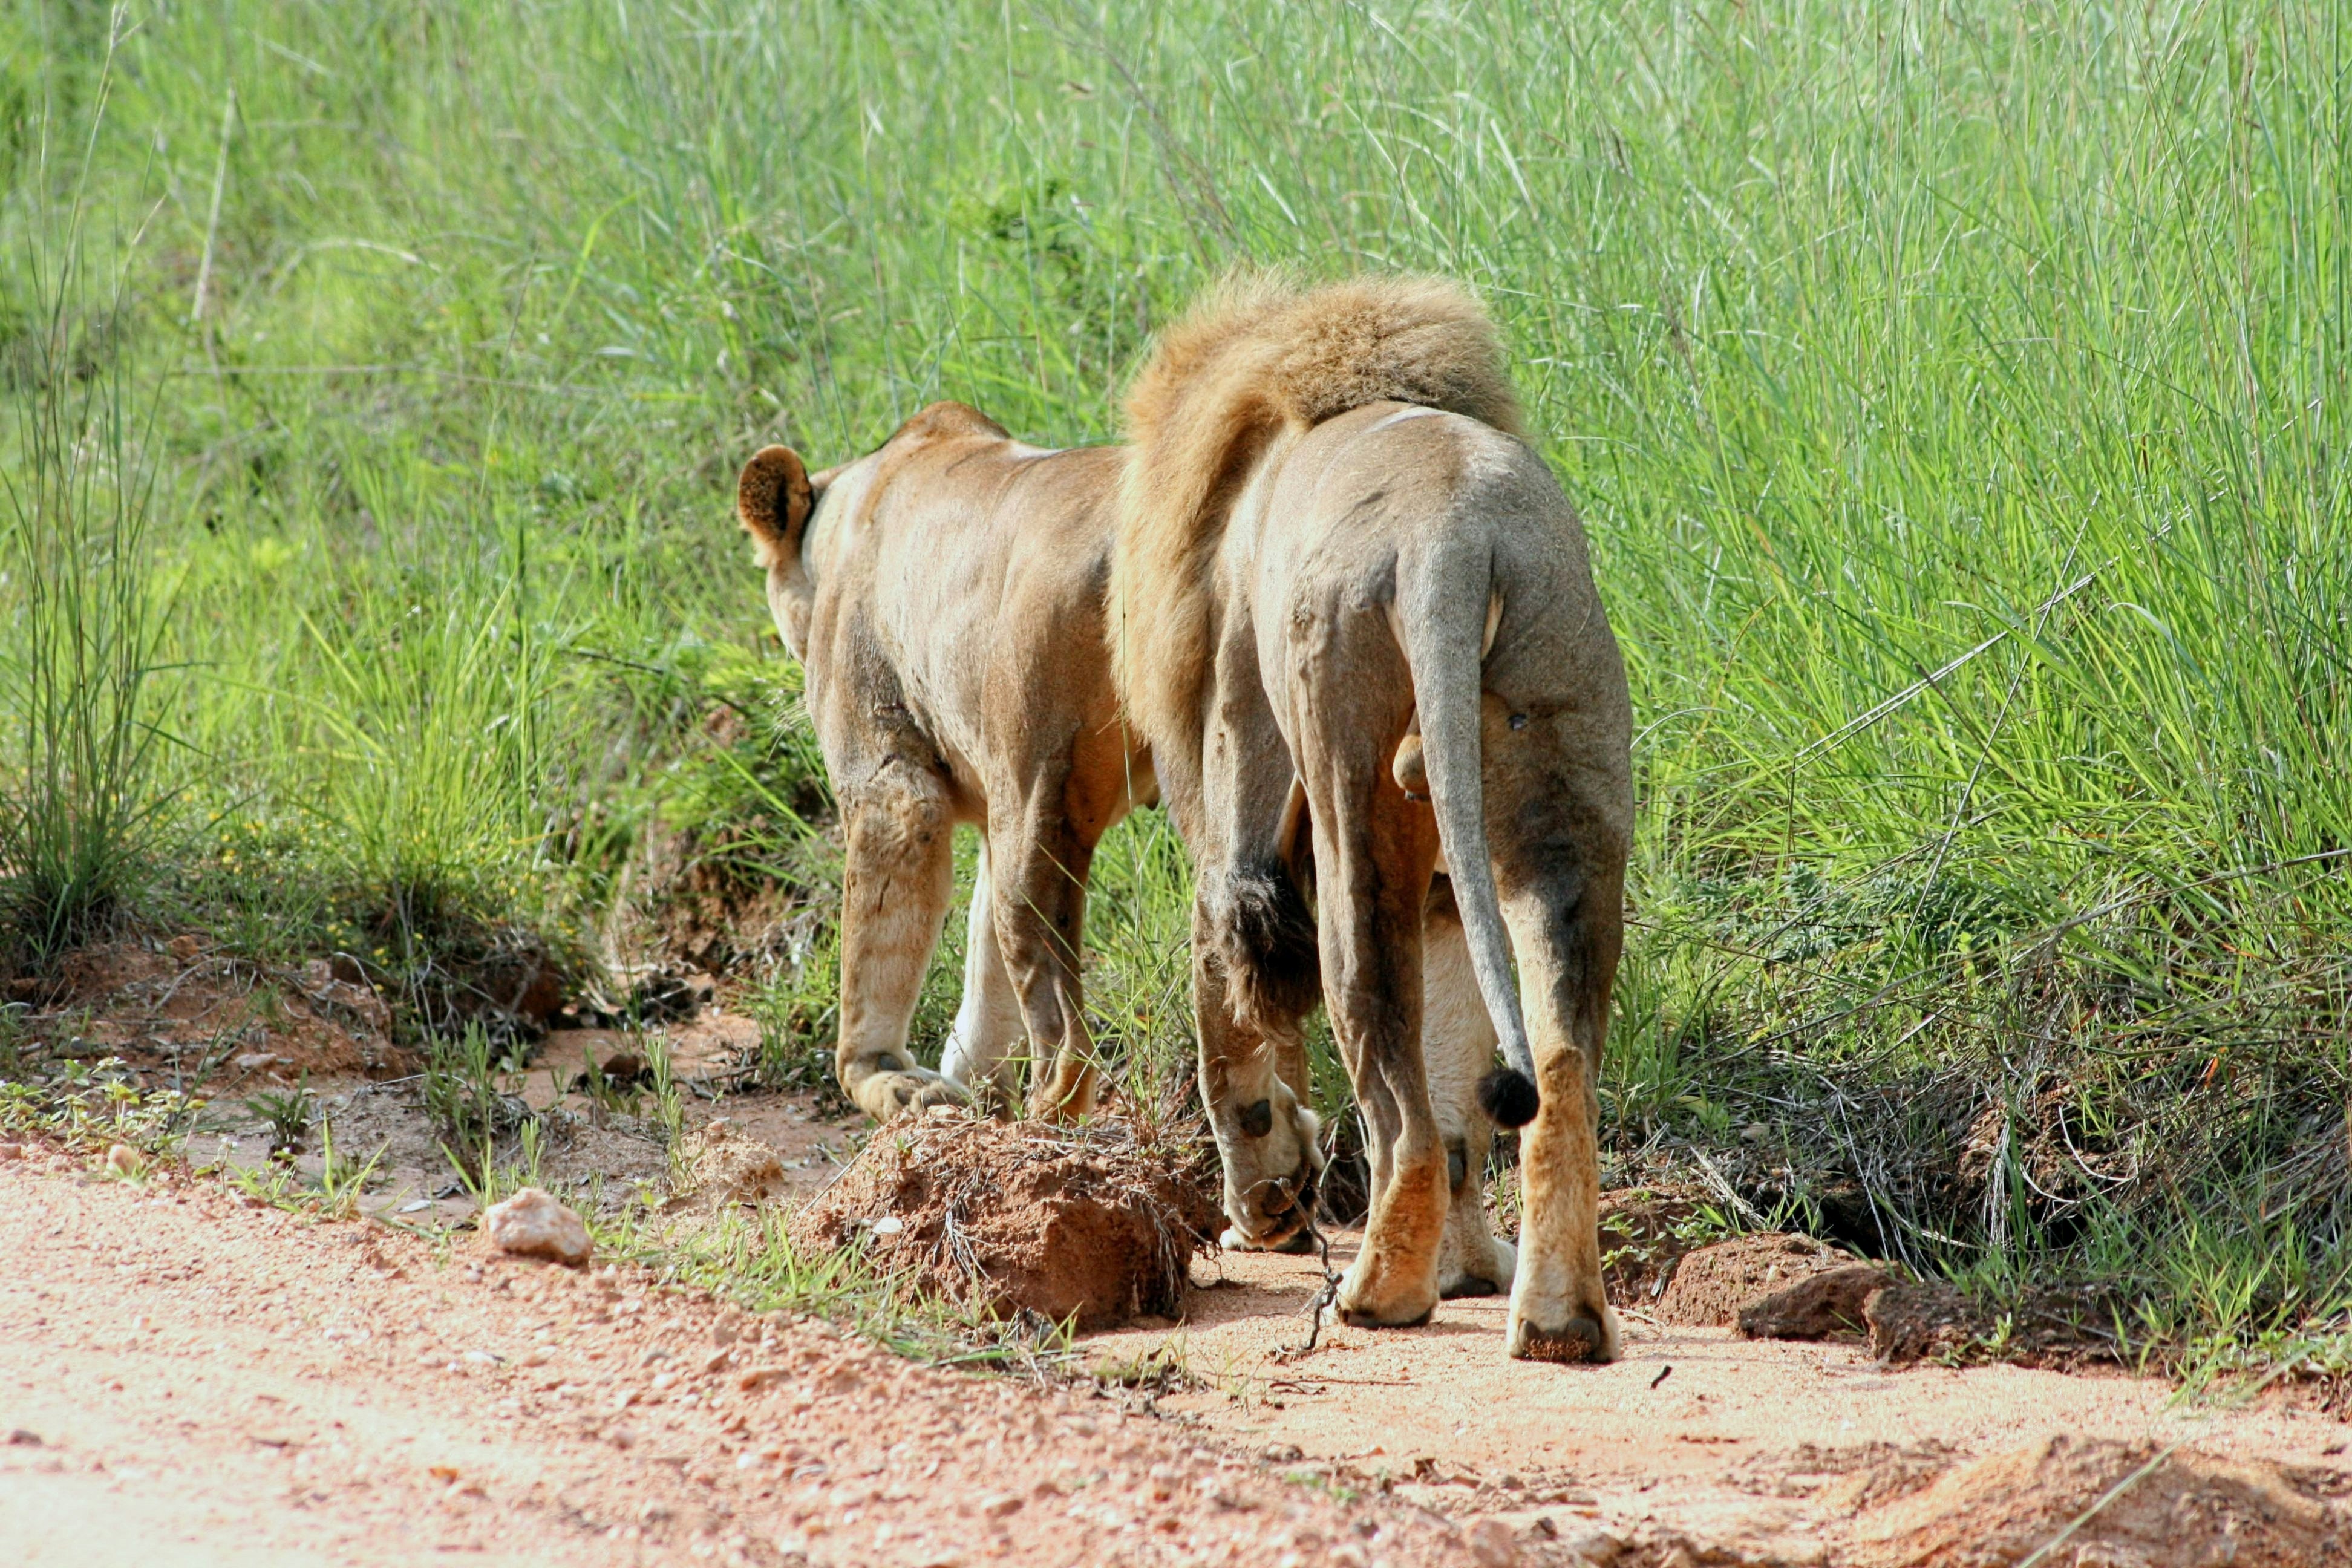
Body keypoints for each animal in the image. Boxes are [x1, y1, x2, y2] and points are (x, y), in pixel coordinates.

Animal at [735, 402, 1152, 1123]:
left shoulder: (890, 780)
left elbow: (877, 950)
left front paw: (884, 1079)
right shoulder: (985, 804)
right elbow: (983, 965)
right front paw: (974, 1089)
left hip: (1038, 790)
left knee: (1060, 1020)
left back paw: (1046, 1120)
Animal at [1109, 275, 1634, 1361]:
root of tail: (1453, 535)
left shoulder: (1234, 821)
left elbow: (1231, 1035)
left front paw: (1264, 1205)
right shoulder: (1443, 900)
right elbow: (1462, 1091)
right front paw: (1468, 1268)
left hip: (1347, 791)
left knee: (1397, 1099)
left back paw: (1377, 1292)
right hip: (1563, 793)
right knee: (1552, 1069)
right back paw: (1557, 1319)